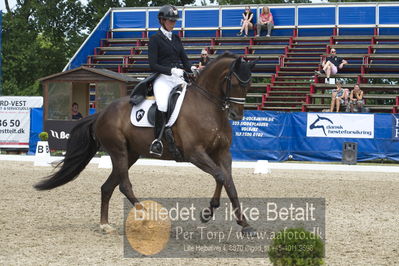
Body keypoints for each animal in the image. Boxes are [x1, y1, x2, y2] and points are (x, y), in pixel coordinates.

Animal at [36, 52, 258, 235]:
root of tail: (101, 113)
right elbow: (220, 176)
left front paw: (244, 224)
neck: (208, 107)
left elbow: (229, 183)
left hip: (130, 155)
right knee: (124, 186)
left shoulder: (223, 153)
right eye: (235, 83)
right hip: (118, 151)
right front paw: (208, 213)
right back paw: (149, 218)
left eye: (248, 85)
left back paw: (105, 225)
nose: (236, 115)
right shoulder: (195, 154)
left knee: (108, 187)